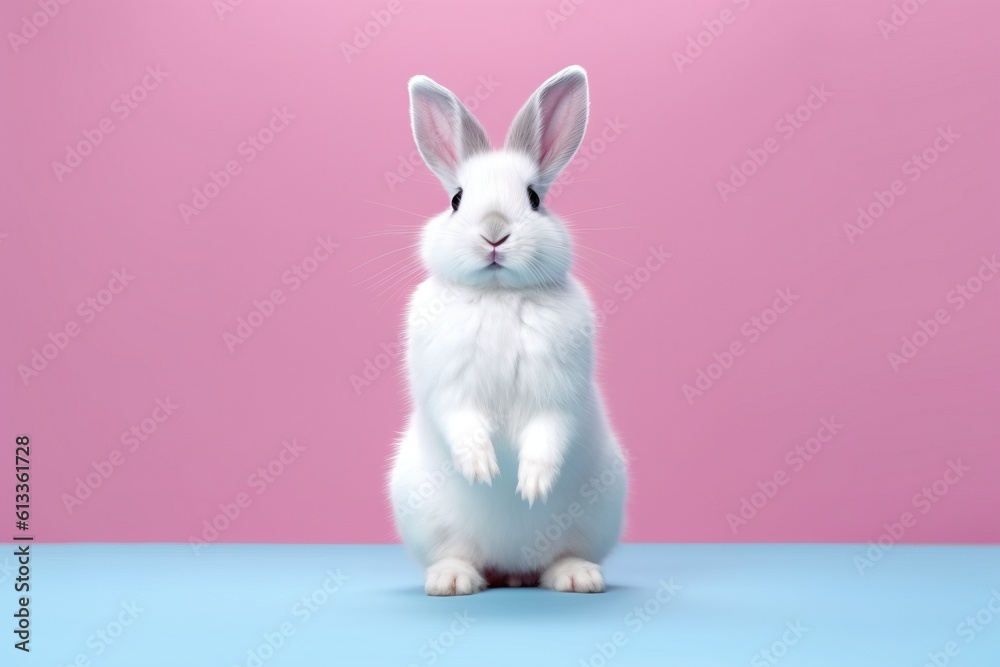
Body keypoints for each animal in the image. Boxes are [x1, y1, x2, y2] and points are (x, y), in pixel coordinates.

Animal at [388, 65, 627, 595]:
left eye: (534, 198)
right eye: (456, 200)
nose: (494, 232)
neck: (498, 296)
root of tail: (511, 565)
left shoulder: (558, 390)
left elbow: (549, 431)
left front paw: (532, 483)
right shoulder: (449, 387)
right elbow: (460, 420)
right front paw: (481, 468)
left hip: (595, 511)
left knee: (558, 557)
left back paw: (577, 577)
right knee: (459, 555)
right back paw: (452, 581)